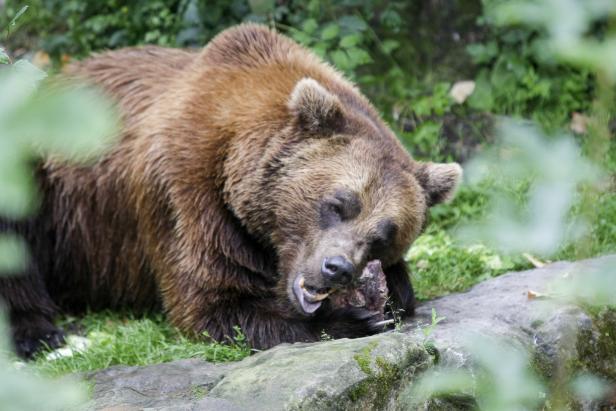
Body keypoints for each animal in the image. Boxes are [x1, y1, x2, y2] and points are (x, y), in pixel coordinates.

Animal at [0, 24, 460, 358]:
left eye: (384, 235)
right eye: (337, 203)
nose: (337, 268)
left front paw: (391, 294)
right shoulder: (187, 191)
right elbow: (214, 301)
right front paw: (352, 321)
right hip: (40, 173)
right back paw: (38, 332)